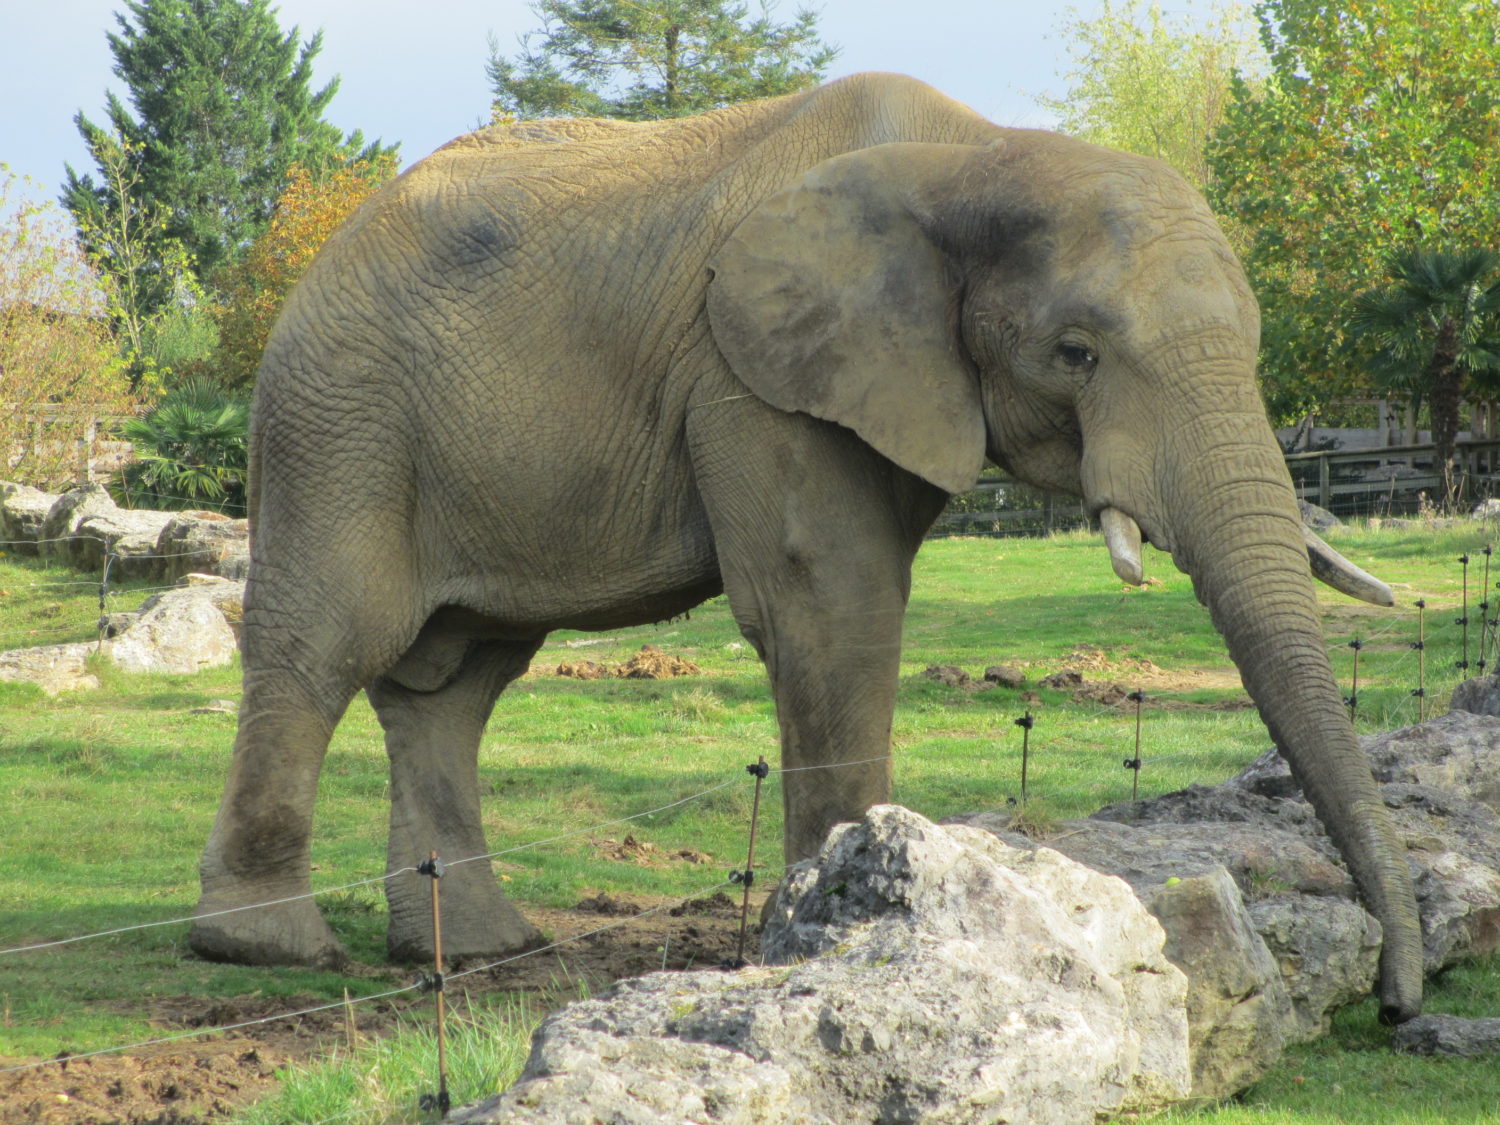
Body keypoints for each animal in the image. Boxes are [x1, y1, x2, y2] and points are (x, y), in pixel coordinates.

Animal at [193, 70, 1422, 1020]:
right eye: (1076, 353)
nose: (1395, 1004)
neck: (979, 155)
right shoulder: (751, 373)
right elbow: (829, 599)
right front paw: (852, 928)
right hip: (338, 423)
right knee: (327, 647)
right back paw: (268, 951)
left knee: (455, 680)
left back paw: (485, 949)